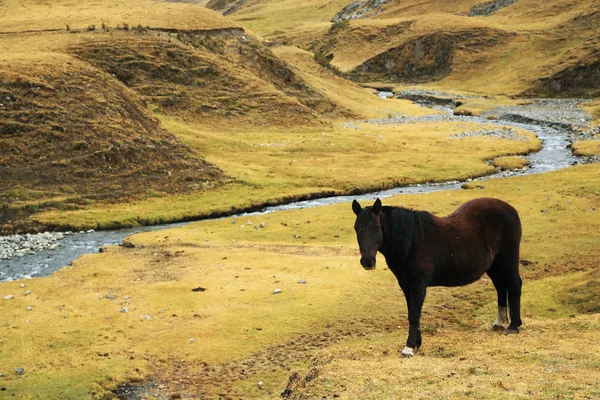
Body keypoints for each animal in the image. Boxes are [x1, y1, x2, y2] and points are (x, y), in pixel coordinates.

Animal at [352, 198, 520, 358]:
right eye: (356, 228)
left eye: (377, 227)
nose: (367, 262)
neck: (412, 242)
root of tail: (509, 208)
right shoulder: (406, 284)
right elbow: (411, 312)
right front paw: (416, 343)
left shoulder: (418, 284)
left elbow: (414, 314)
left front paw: (409, 347)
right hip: (493, 264)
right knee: (501, 286)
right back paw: (499, 323)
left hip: (508, 259)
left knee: (514, 284)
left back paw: (514, 326)